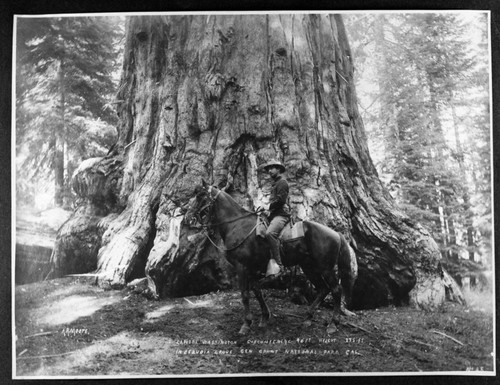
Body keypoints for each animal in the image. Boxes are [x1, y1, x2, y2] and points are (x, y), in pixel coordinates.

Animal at [187, 180, 356, 332]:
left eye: (200, 195)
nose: (189, 217)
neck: (237, 225)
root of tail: (336, 234)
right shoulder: (252, 268)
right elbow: (257, 291)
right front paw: (264, 317)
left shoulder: (242, 267)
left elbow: (245, 295)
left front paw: (246, 324)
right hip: (309, 267)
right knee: (323, 288)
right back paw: (308, 317)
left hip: (325, 268)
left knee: (336, 290)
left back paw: (333, 324)